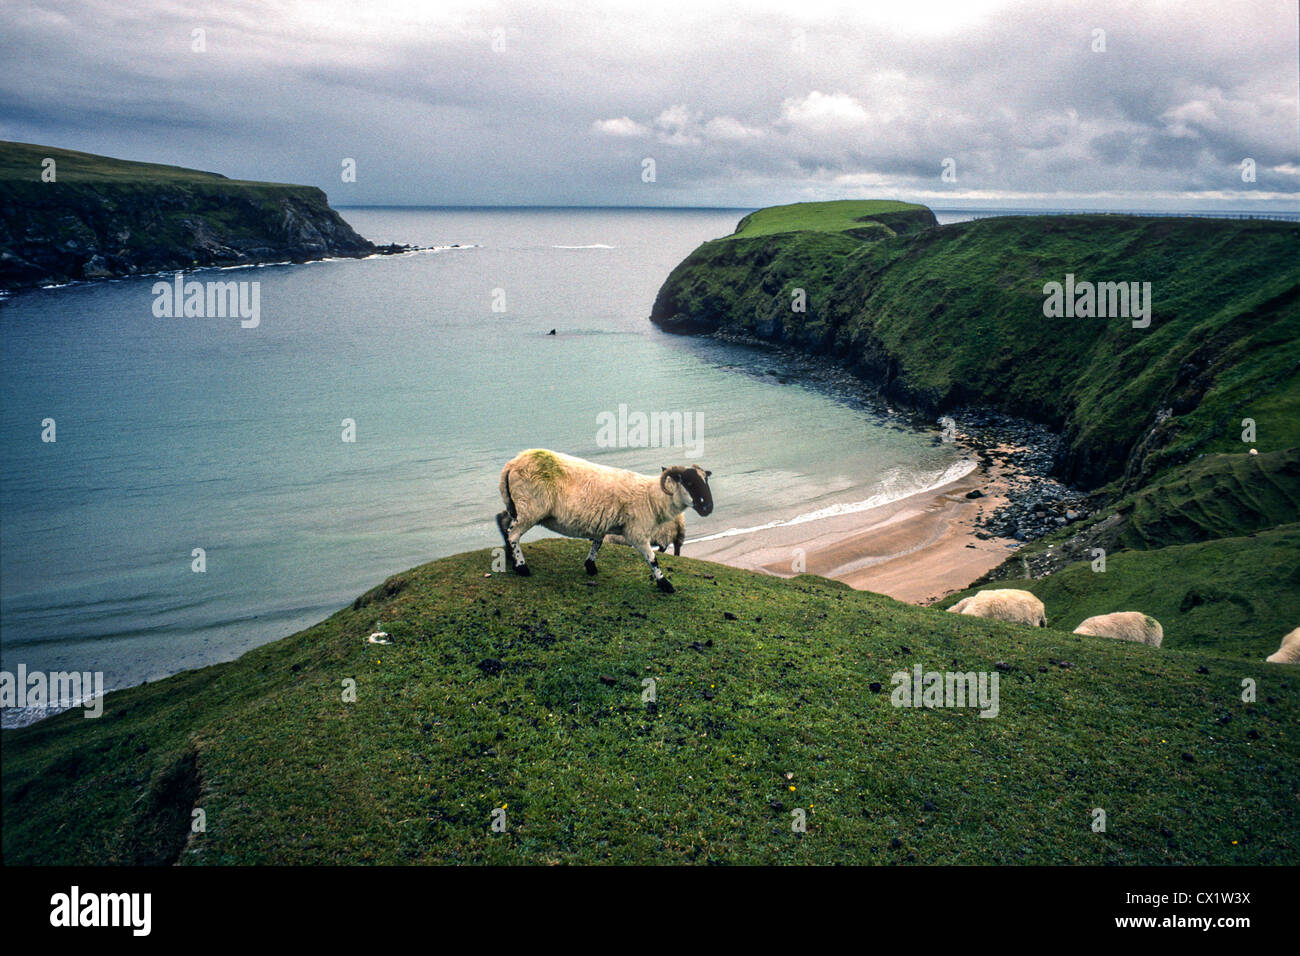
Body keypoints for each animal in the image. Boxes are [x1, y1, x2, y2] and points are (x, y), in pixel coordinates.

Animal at [493, 447, 717, 590]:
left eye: (705, 480)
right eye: (689, 482)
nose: (708, 508)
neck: (652, 497)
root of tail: (511, 464)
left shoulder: (603, 523)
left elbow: (597, 543)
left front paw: (590, 566)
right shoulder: (636, 532)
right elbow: (652, 559)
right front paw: (665, 585)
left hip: (517, 505)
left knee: (503, 521)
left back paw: (509, 558)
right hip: (530, 507)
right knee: (513, 534)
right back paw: (522, 567)